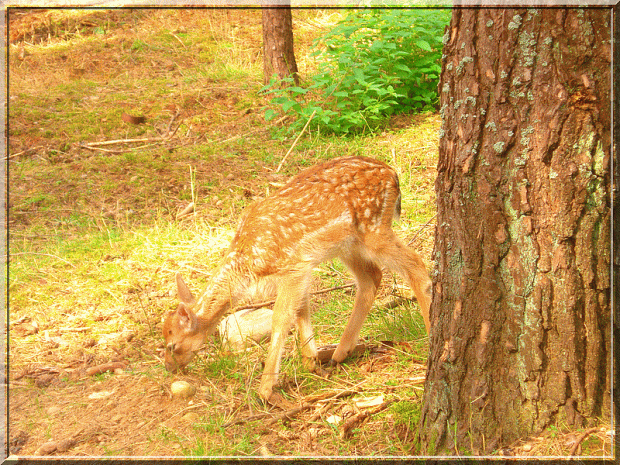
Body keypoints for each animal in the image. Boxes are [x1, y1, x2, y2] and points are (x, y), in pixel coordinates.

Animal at [161, 155, 432, 402]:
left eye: (172, 344)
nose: (169, 367)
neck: (248, 267)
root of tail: (393, 174)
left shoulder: (293, 267)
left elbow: (281, 318)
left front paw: (265, 389)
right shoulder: (302, 269)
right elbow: (302, 308)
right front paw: (310, 362)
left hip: (373, 227)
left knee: (417, 265)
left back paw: (430, 335)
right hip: (348, 244)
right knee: (372, 278)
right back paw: (340, 352)